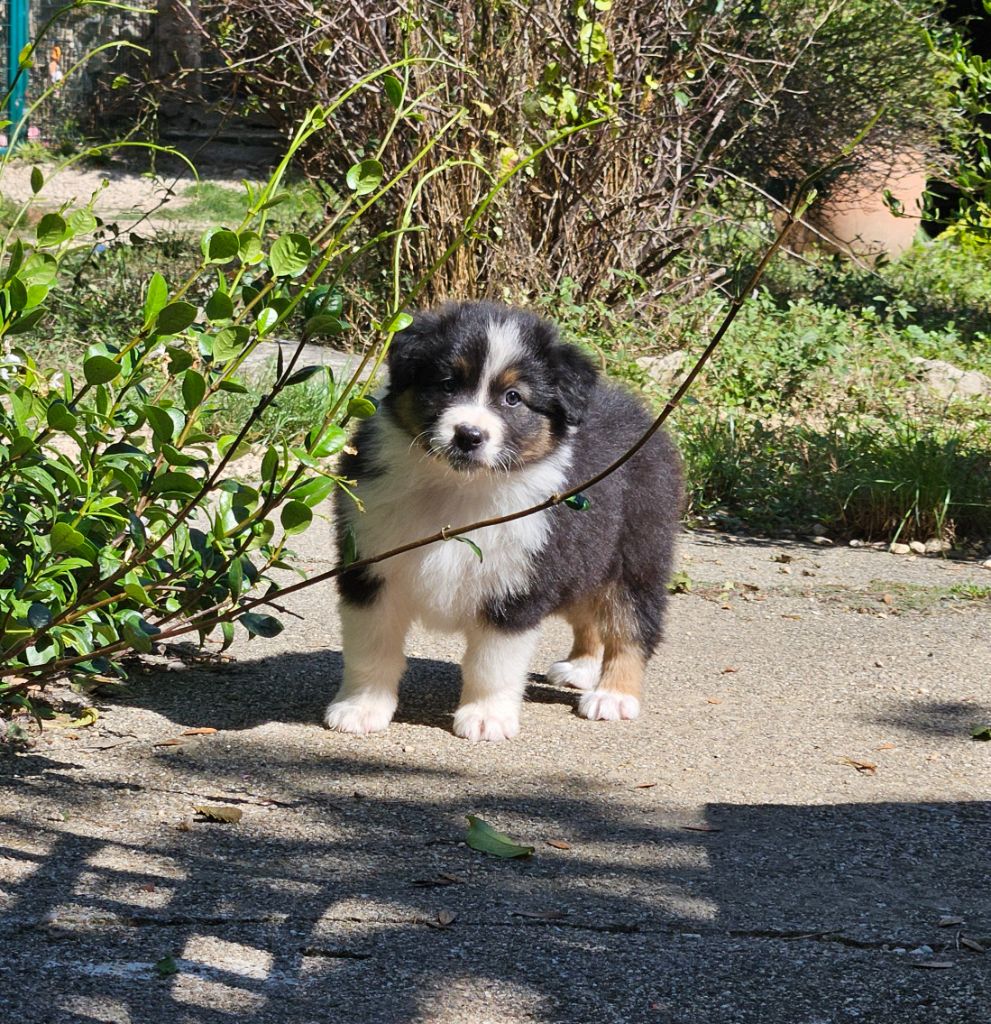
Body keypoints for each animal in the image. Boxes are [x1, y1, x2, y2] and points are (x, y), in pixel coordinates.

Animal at [325, 299, 679, 741]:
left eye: (513, 398)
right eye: (447, 384)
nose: (468, 435)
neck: (458, 488)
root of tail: (639, 411)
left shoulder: (514, 587)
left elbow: (492, 664)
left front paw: (486, 717)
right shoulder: (371, 568)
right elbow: (372, 649)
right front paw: (361, 708)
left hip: (634, 553)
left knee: (630, 626)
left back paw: (613, 695)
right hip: (580, 556)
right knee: (587, 610)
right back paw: (581, 667)